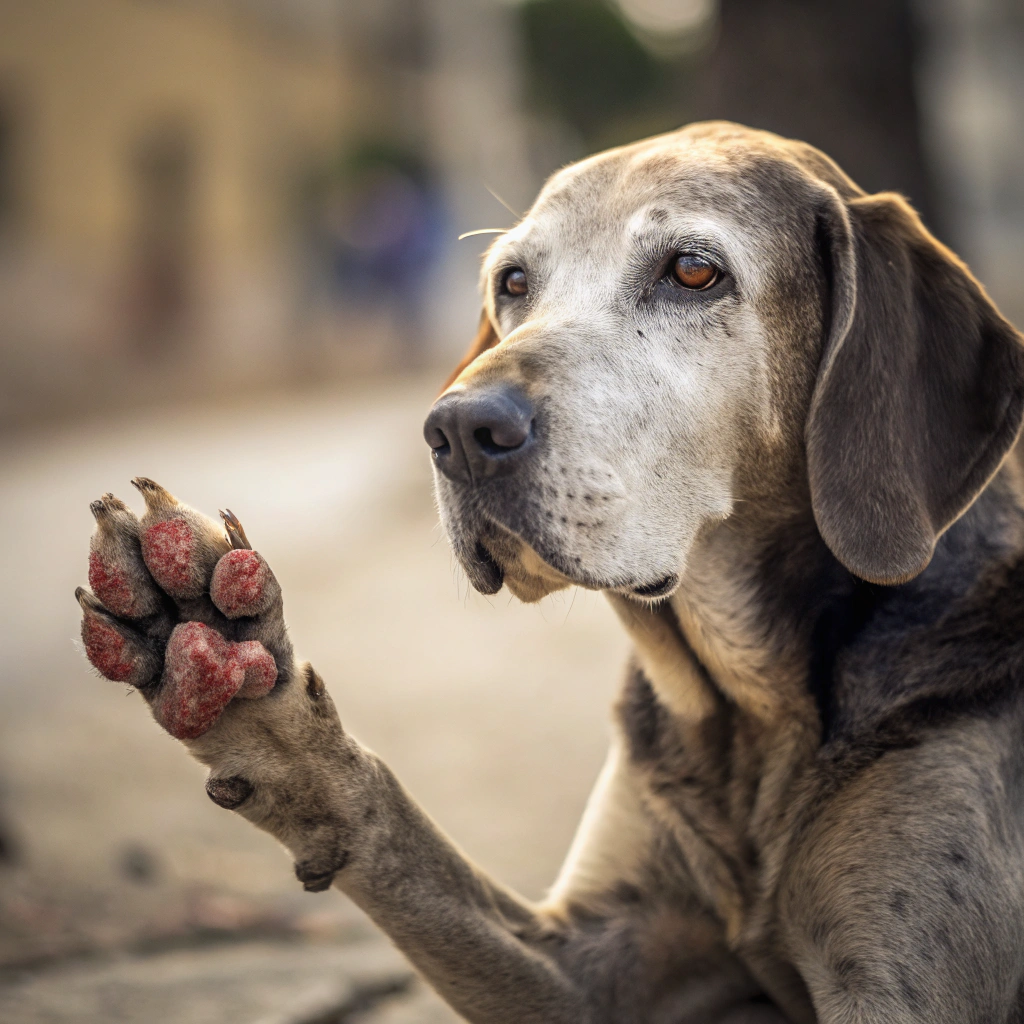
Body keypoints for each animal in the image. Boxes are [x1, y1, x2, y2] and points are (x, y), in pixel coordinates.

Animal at [81, 123, 1024, 1019]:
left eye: (694, 271)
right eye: (512, 282)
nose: (458, 430)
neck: (746, 716)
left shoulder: (894, 985)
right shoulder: (592, 967)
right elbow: (404, 844)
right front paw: (236, 681)